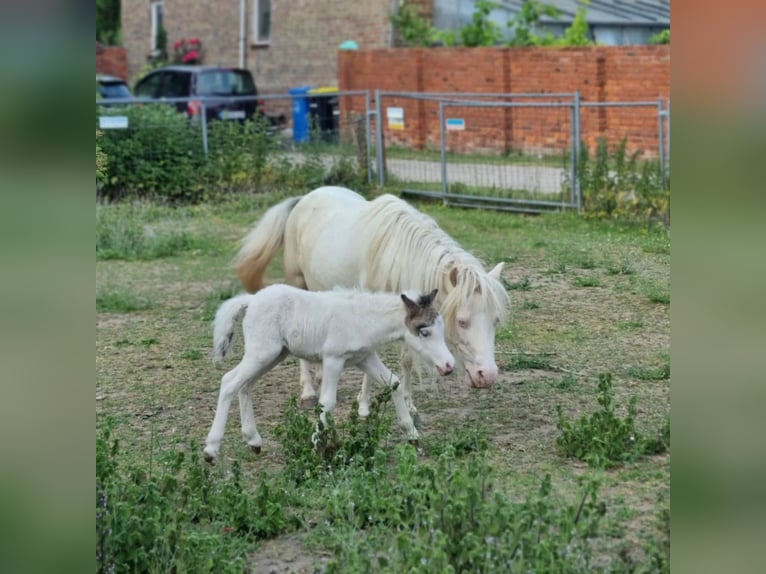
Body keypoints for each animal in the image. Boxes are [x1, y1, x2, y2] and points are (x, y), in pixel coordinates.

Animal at [203, 284, 454, 463]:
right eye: (424, 331)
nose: (449, 365)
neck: (364, 319)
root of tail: (252, 300)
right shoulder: (334, 358)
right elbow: (328, 402)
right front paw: (316, 446)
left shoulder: (365, 358)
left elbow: (394, 383)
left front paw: (413, 436)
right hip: (262, 352)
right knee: (229, 381)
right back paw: (211, 450)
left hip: (273, 355)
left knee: (245, 386)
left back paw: (254, 441)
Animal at [234, 186, 510, 423]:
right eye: (462, 321)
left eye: (496, 321)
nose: (488, 376)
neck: (396, 256)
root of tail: (305, 198)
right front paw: (364, 406)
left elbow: (407, 359)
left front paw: (410, 405)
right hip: (298, 282)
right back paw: (308, 393)